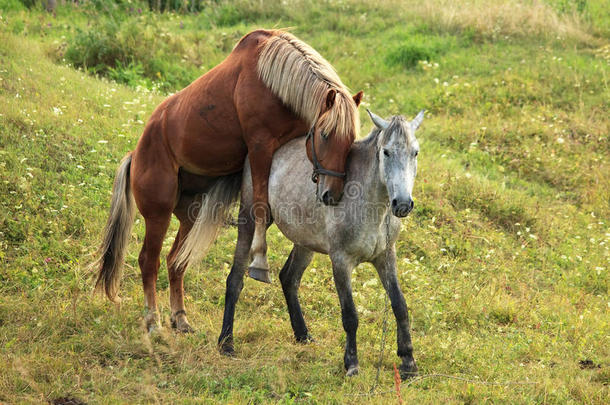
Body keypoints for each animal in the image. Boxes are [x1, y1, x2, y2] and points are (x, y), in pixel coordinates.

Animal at [94, 29, 360, 332]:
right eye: (325, 135)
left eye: (351, 141)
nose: (332, 194)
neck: (272, 84)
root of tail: (135, 155)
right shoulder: (259, 147)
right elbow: (261, 207)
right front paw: (259, 262)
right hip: (157, 214)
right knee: (149, 261)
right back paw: (153, 320)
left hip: (189, 215)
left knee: (176, 261)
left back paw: (180, 317)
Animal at [218, 109, 422, 378]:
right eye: (386, 152)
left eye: (415, 152)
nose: (403, 204)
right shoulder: (341, 261)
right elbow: (350, 315)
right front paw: (352, 364)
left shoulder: (385, 256)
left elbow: (400, 305)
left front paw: (408, 362)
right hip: (249, 222)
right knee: (235, 279)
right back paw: (226, 343)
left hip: (305, 243)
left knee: (289, 278)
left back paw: (303, 335)